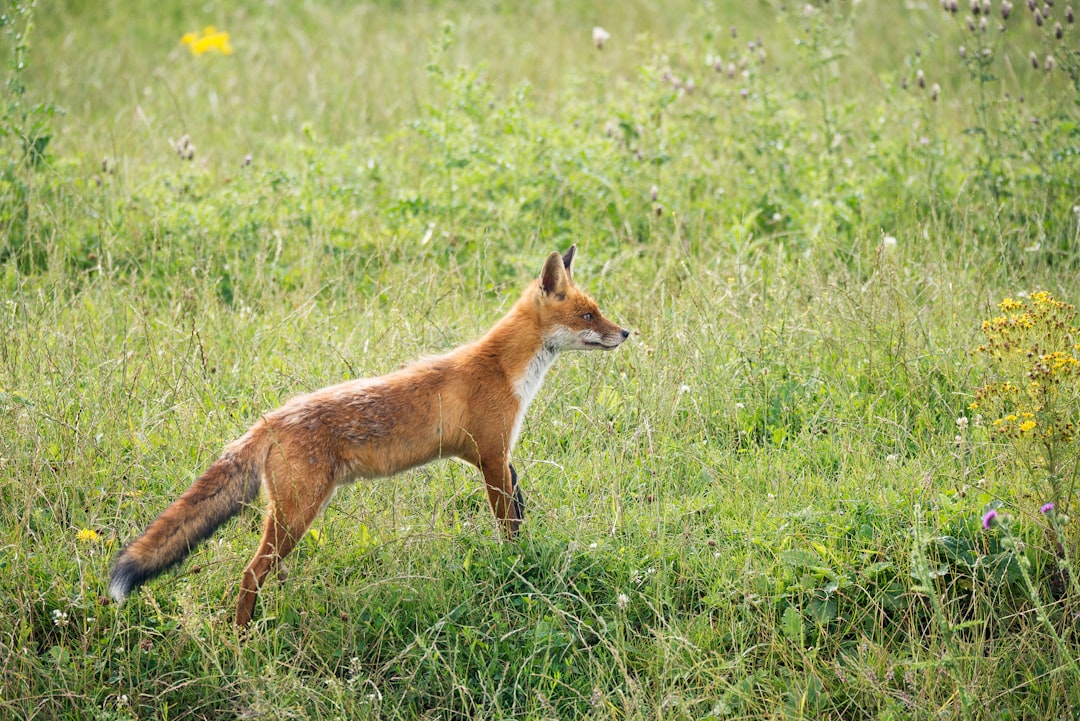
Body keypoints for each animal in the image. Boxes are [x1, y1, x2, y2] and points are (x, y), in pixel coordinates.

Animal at [107, 246, 630, 626]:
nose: (626, 333)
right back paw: (241, 640)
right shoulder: (490, 455)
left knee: (269, 572)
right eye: (588, 316)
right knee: (250, 574)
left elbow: (520, 510)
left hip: (288, 520)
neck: (504, 369)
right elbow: (509, 526)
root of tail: (269, 420)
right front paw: (516, 567)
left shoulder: (499, 457)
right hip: (297, 514)